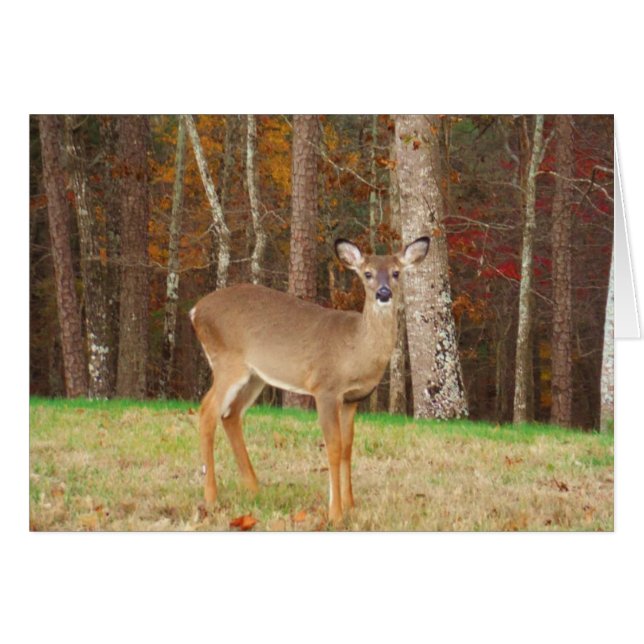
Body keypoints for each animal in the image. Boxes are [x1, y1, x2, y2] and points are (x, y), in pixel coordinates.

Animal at [190, 235, 430, 526]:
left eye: (396, 272)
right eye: (367, 273)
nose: (384, 293)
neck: (355, 350)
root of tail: (195, 310)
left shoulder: (351, 399)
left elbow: (348, 447)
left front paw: (351, 506)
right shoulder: (325, 388)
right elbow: (333, 447)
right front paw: (335, 513)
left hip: (255, 376)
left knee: (230, 415)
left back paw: (255, 489)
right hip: (228, 362)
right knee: (207, 411)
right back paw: (211, 498)